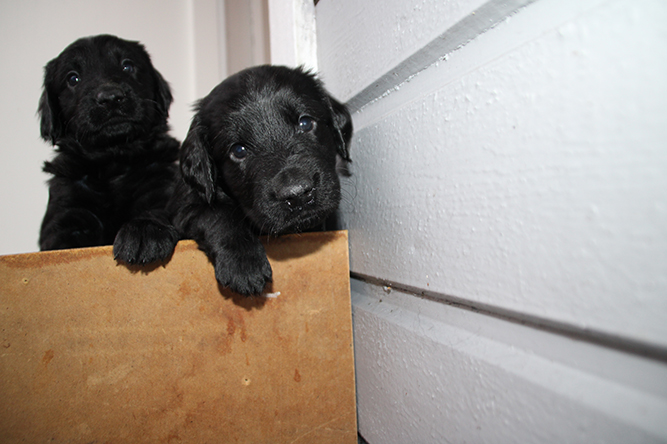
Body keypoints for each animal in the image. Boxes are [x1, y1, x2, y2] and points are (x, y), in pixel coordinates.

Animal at [38, 34, 180, 259]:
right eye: (73, 78)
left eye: (127, 66)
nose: (110, 97)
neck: (113, 161)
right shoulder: (65, 211)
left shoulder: (161, 186)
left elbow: (156, 210)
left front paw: (144, 231)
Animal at [119, 65, 352, 296]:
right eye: (238, 151)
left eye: (305, 123)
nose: (297, 194)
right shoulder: (186, 206)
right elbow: (218, 214)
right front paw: (243, 263)